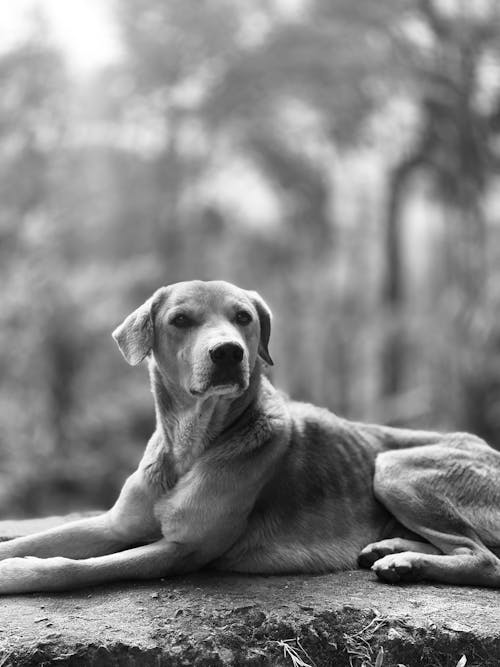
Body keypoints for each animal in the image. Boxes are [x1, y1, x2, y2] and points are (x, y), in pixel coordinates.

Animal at [0, 280, 498, 592]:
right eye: (180, 320)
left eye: (243, 317)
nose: (227, 352)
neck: (191, 445)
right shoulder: (114, 524)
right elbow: (37, 541)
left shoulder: (182, 550)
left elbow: (76, 569)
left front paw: (17, 575)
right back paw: (394, 551)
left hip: (393, 467)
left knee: (485, 560)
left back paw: (406, 560)